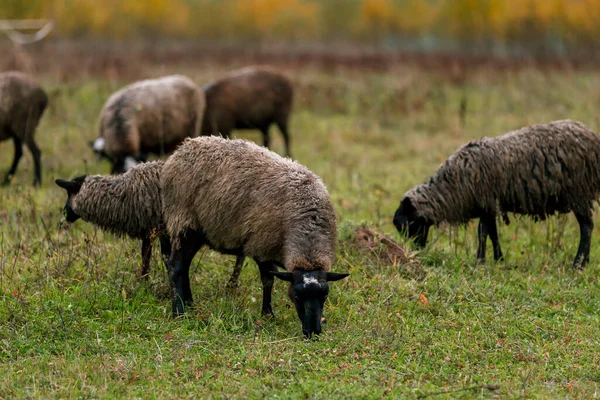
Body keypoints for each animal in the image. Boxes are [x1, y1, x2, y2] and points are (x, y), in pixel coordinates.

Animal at [162, 137, 350, 338]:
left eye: (325, 295)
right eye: (297, 295)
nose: (313, 332)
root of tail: (183, 148)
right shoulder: (262, 245)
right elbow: (268, 281)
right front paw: (268, 314)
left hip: (198, 232)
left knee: (185, 265)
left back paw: (189, 303)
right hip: (184, 222)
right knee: (176, 267)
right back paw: (179, 311)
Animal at [392, 119, 600, 268]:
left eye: (408, 223)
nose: (416, 251)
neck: (452, 186)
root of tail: (593, 137)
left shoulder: (486, 200)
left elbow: (482, 232)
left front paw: (480, 260)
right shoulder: (490, 205)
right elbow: (493, 233)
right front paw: (499, 258)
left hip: (579, 193)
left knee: (587, 227)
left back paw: (579, 263)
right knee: (587, 226)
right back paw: (583, 261)